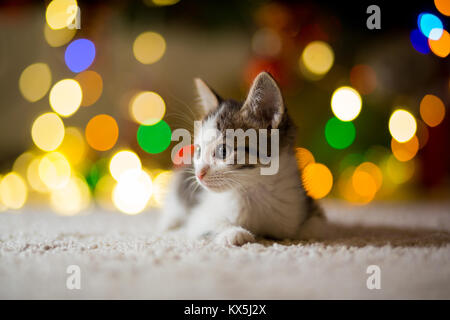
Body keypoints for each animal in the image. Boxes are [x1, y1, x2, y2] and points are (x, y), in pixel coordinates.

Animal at [158, 72, 324, 246]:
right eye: (198, 150)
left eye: (223, 151)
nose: (199, 174)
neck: (254, 188)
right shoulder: (199, 216)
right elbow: (206, 224)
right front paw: (233, 233)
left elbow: (314, 228)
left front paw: (305, 230)